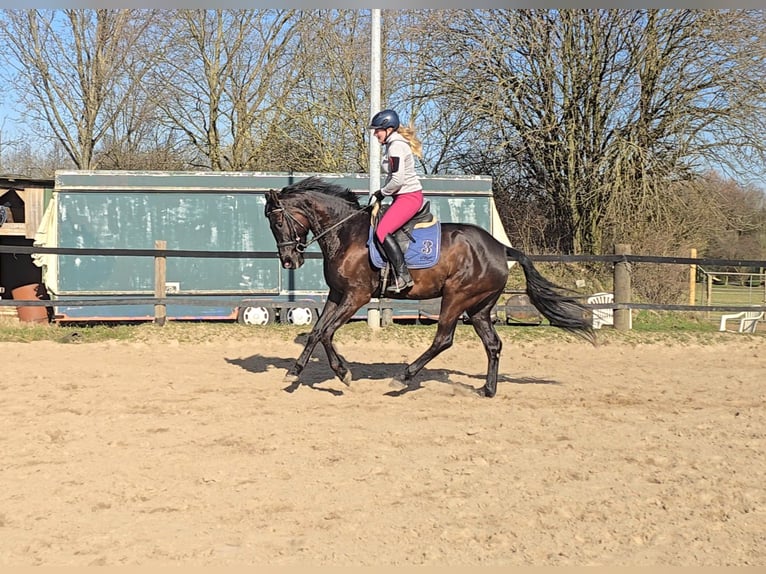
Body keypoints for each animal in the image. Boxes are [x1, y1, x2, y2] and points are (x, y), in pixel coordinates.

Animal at [268, 178, 596, 398]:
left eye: (279, 222)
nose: (289, 260)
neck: (345, 233)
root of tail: (500, 248)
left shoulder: (356, 296)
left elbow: (326, 332)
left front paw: (343, 373)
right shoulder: (338, 295)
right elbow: (316, 332)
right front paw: (295, 371)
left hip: (456, 297)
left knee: (443, 339)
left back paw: (403, 377)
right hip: (479, 307)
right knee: (492, 344)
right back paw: (487, 389)